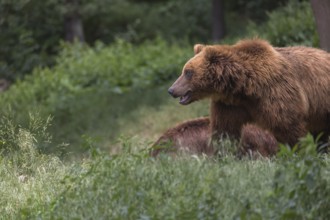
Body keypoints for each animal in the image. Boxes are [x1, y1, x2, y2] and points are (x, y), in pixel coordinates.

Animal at [168, 39, 330, 155]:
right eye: (184, 70)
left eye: (188, 72)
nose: (171, 90)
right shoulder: (230, 105)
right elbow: (225, 131)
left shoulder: (277, 93)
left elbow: (289, 128)